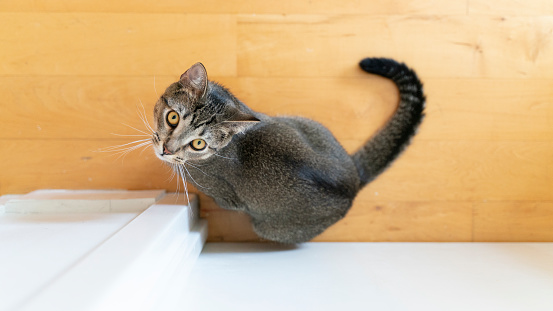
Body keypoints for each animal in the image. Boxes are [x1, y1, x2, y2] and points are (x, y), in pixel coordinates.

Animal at [150, 58, 422, 244]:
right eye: (173, 117)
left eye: (199, 144)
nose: (166, 149)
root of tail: (353, 182)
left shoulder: (226, 197)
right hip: (304, 122)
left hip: (270, 228)